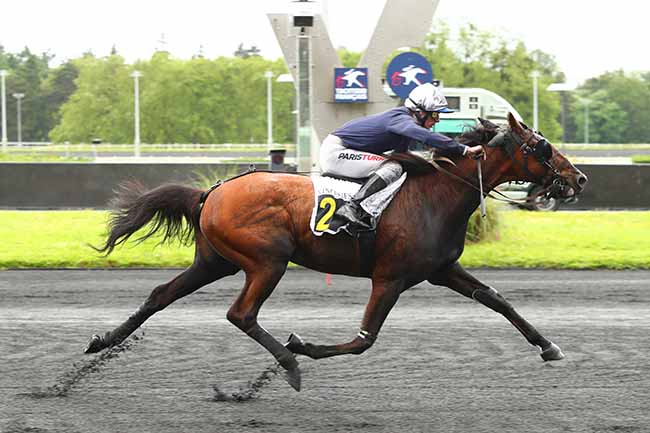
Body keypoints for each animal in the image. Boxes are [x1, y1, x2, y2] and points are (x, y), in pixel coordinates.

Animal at [86, 113, 588, 390]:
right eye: (541, 146)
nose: (578, 178)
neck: (438, 194)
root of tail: (212, 191)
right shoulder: (390, 277)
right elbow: (364, 339)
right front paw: (301, 345)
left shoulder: (441, 269)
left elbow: (497, 300)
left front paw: (549, 347)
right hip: (267, 261)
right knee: (240, 314)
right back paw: (289, 363)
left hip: (216, 261)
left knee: (160, 295)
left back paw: (102, 341)